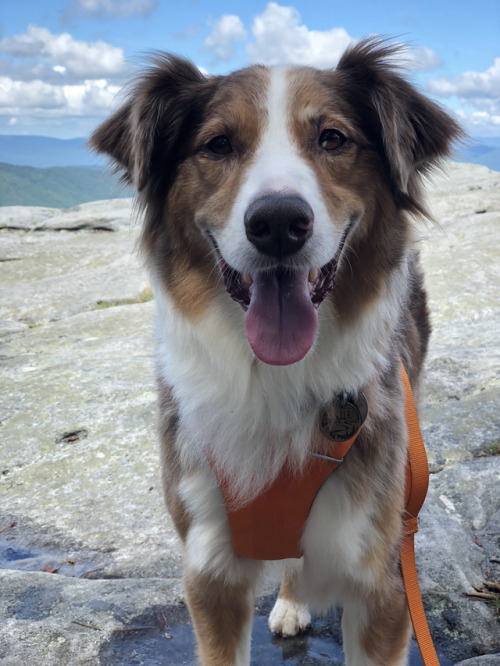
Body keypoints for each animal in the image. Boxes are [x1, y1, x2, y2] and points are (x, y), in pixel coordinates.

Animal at [91, 39, 460, 660]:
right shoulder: (209, 568)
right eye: (218, 144)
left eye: (332, 138)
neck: (270, 376)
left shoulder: (382, 577)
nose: (279, 222)